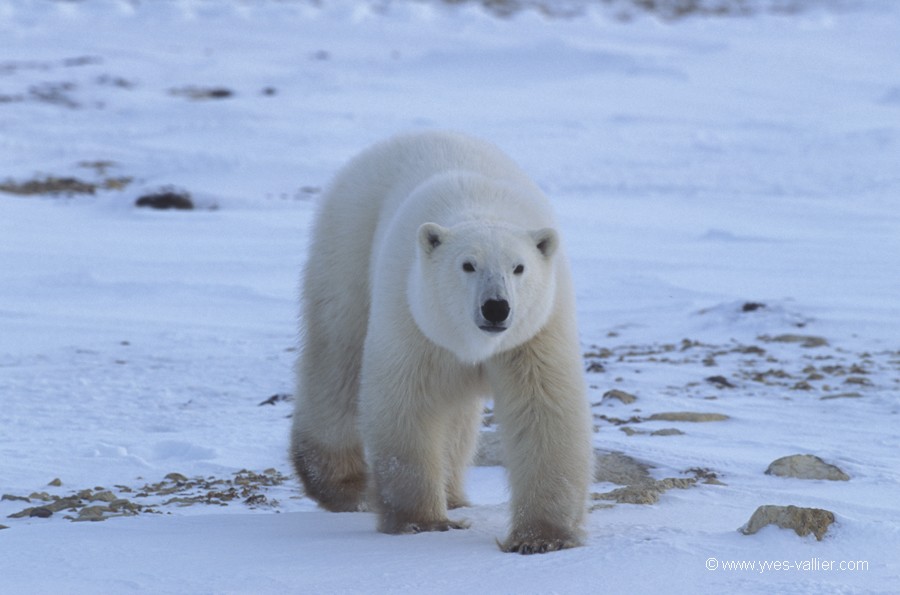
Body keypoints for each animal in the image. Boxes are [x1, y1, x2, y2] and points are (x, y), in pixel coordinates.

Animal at [290, 130, 596, 556]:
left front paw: (542, 538)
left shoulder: (535, 332)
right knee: (338, 358)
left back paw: (451, 492)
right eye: (467, 265)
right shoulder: (414, 316)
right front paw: (423, 522)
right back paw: (341, 485)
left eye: (518, 267)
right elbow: (407, 403)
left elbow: (544, 410)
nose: (496, 307)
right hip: (348, 242)